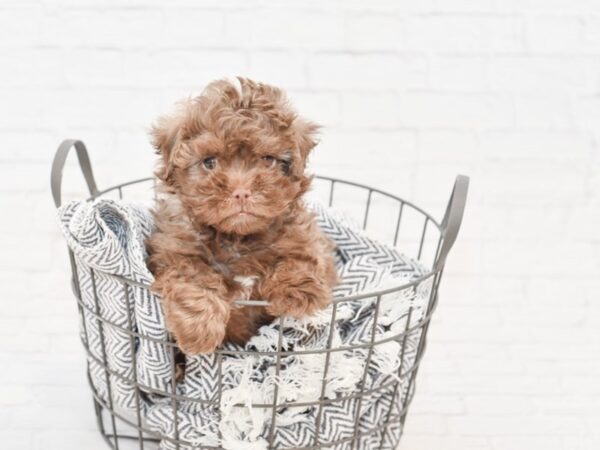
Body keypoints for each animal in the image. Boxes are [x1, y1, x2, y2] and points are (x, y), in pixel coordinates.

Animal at [146, 77, 338, 356]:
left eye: (268, 160)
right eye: (210, 162)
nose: (242, 192)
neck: (237, 238)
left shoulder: (304, 235)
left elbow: (302, 256)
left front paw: (297, 291)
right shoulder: (176, 250)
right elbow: (195, 278)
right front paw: (199, 329)